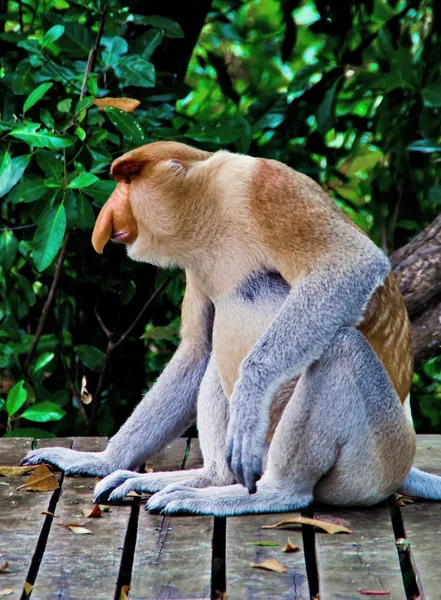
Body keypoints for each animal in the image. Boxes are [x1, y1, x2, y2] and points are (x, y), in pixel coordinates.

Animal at [22, 142, 440, 516]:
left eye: (127, 181)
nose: (105, 218)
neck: (211, 206)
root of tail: (405, 463)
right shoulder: (195, 263)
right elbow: (196, 349)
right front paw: (101, 460)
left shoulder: (265, 185)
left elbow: (353, 263)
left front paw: (250, 395)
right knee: (215, 359)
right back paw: (199, 479)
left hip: (377, 456)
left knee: (343, 348)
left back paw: (268, 492)